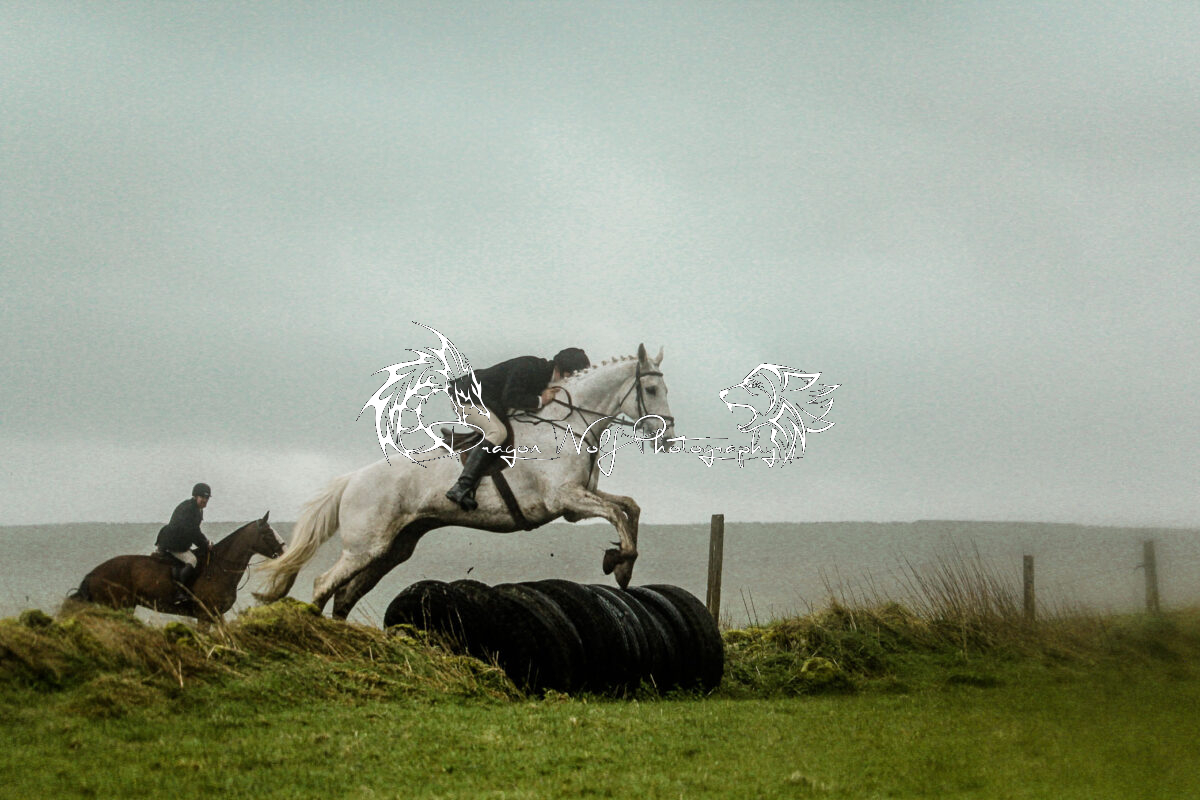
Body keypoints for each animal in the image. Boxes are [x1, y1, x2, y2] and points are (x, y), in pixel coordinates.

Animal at [71, 512, 285, 623]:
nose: (283, 551)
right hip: (117, 607)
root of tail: (93, 574)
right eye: (268, 533)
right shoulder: (204, 615)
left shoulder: (216, 616)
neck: (221, 567)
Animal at [254, 343, 677, 619]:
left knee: (344, 595)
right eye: (652, 389)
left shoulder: (579, 500)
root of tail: (352, 479)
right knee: (323, 583)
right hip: (365, 546)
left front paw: (622, 564)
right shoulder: (565, 499)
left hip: (393, 548)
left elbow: (629, 507)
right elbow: (617, 514)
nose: (668, 438)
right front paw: (620, 564)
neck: (568, 424)